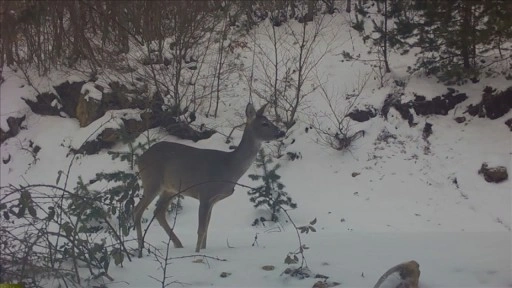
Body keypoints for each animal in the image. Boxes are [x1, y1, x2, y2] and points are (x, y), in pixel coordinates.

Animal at [132, 103, 284, 256]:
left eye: (270, 121)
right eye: (264, 123)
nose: (281, 132)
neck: (229, 167)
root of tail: (140, 158)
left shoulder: (213, 200)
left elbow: (206, 229)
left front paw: (204, 251)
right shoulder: (205, 193)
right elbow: (201, 230)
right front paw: (197, 253)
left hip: (170, 189)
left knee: (159, 212)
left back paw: (178, 244)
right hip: (152, 181)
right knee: (137, 210)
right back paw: (140, 248)